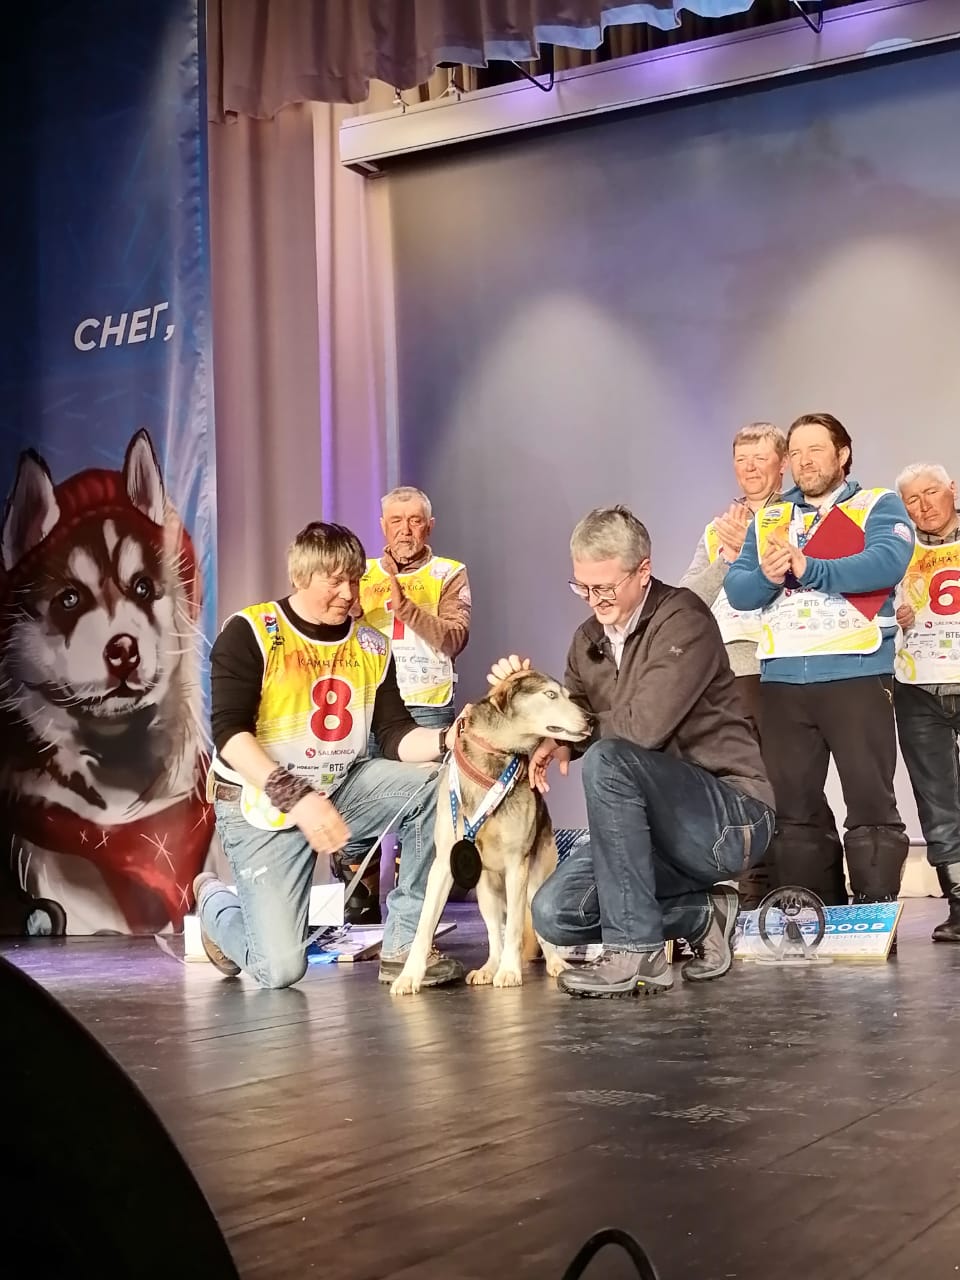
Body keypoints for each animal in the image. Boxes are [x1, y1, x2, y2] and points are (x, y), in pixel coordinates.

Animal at [390, 669, 592, 995]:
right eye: (550, 695)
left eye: (568, 695)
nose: (590, 718)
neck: (496, 755)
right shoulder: (444, 864)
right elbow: (424, 925)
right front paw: (409, 976)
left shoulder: (517, 864)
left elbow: (515, 929)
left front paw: (510, 971)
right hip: (486, 892)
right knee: (495, 933)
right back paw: (489, 968)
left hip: (534, 884)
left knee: (534, 929)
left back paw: (554, 963)